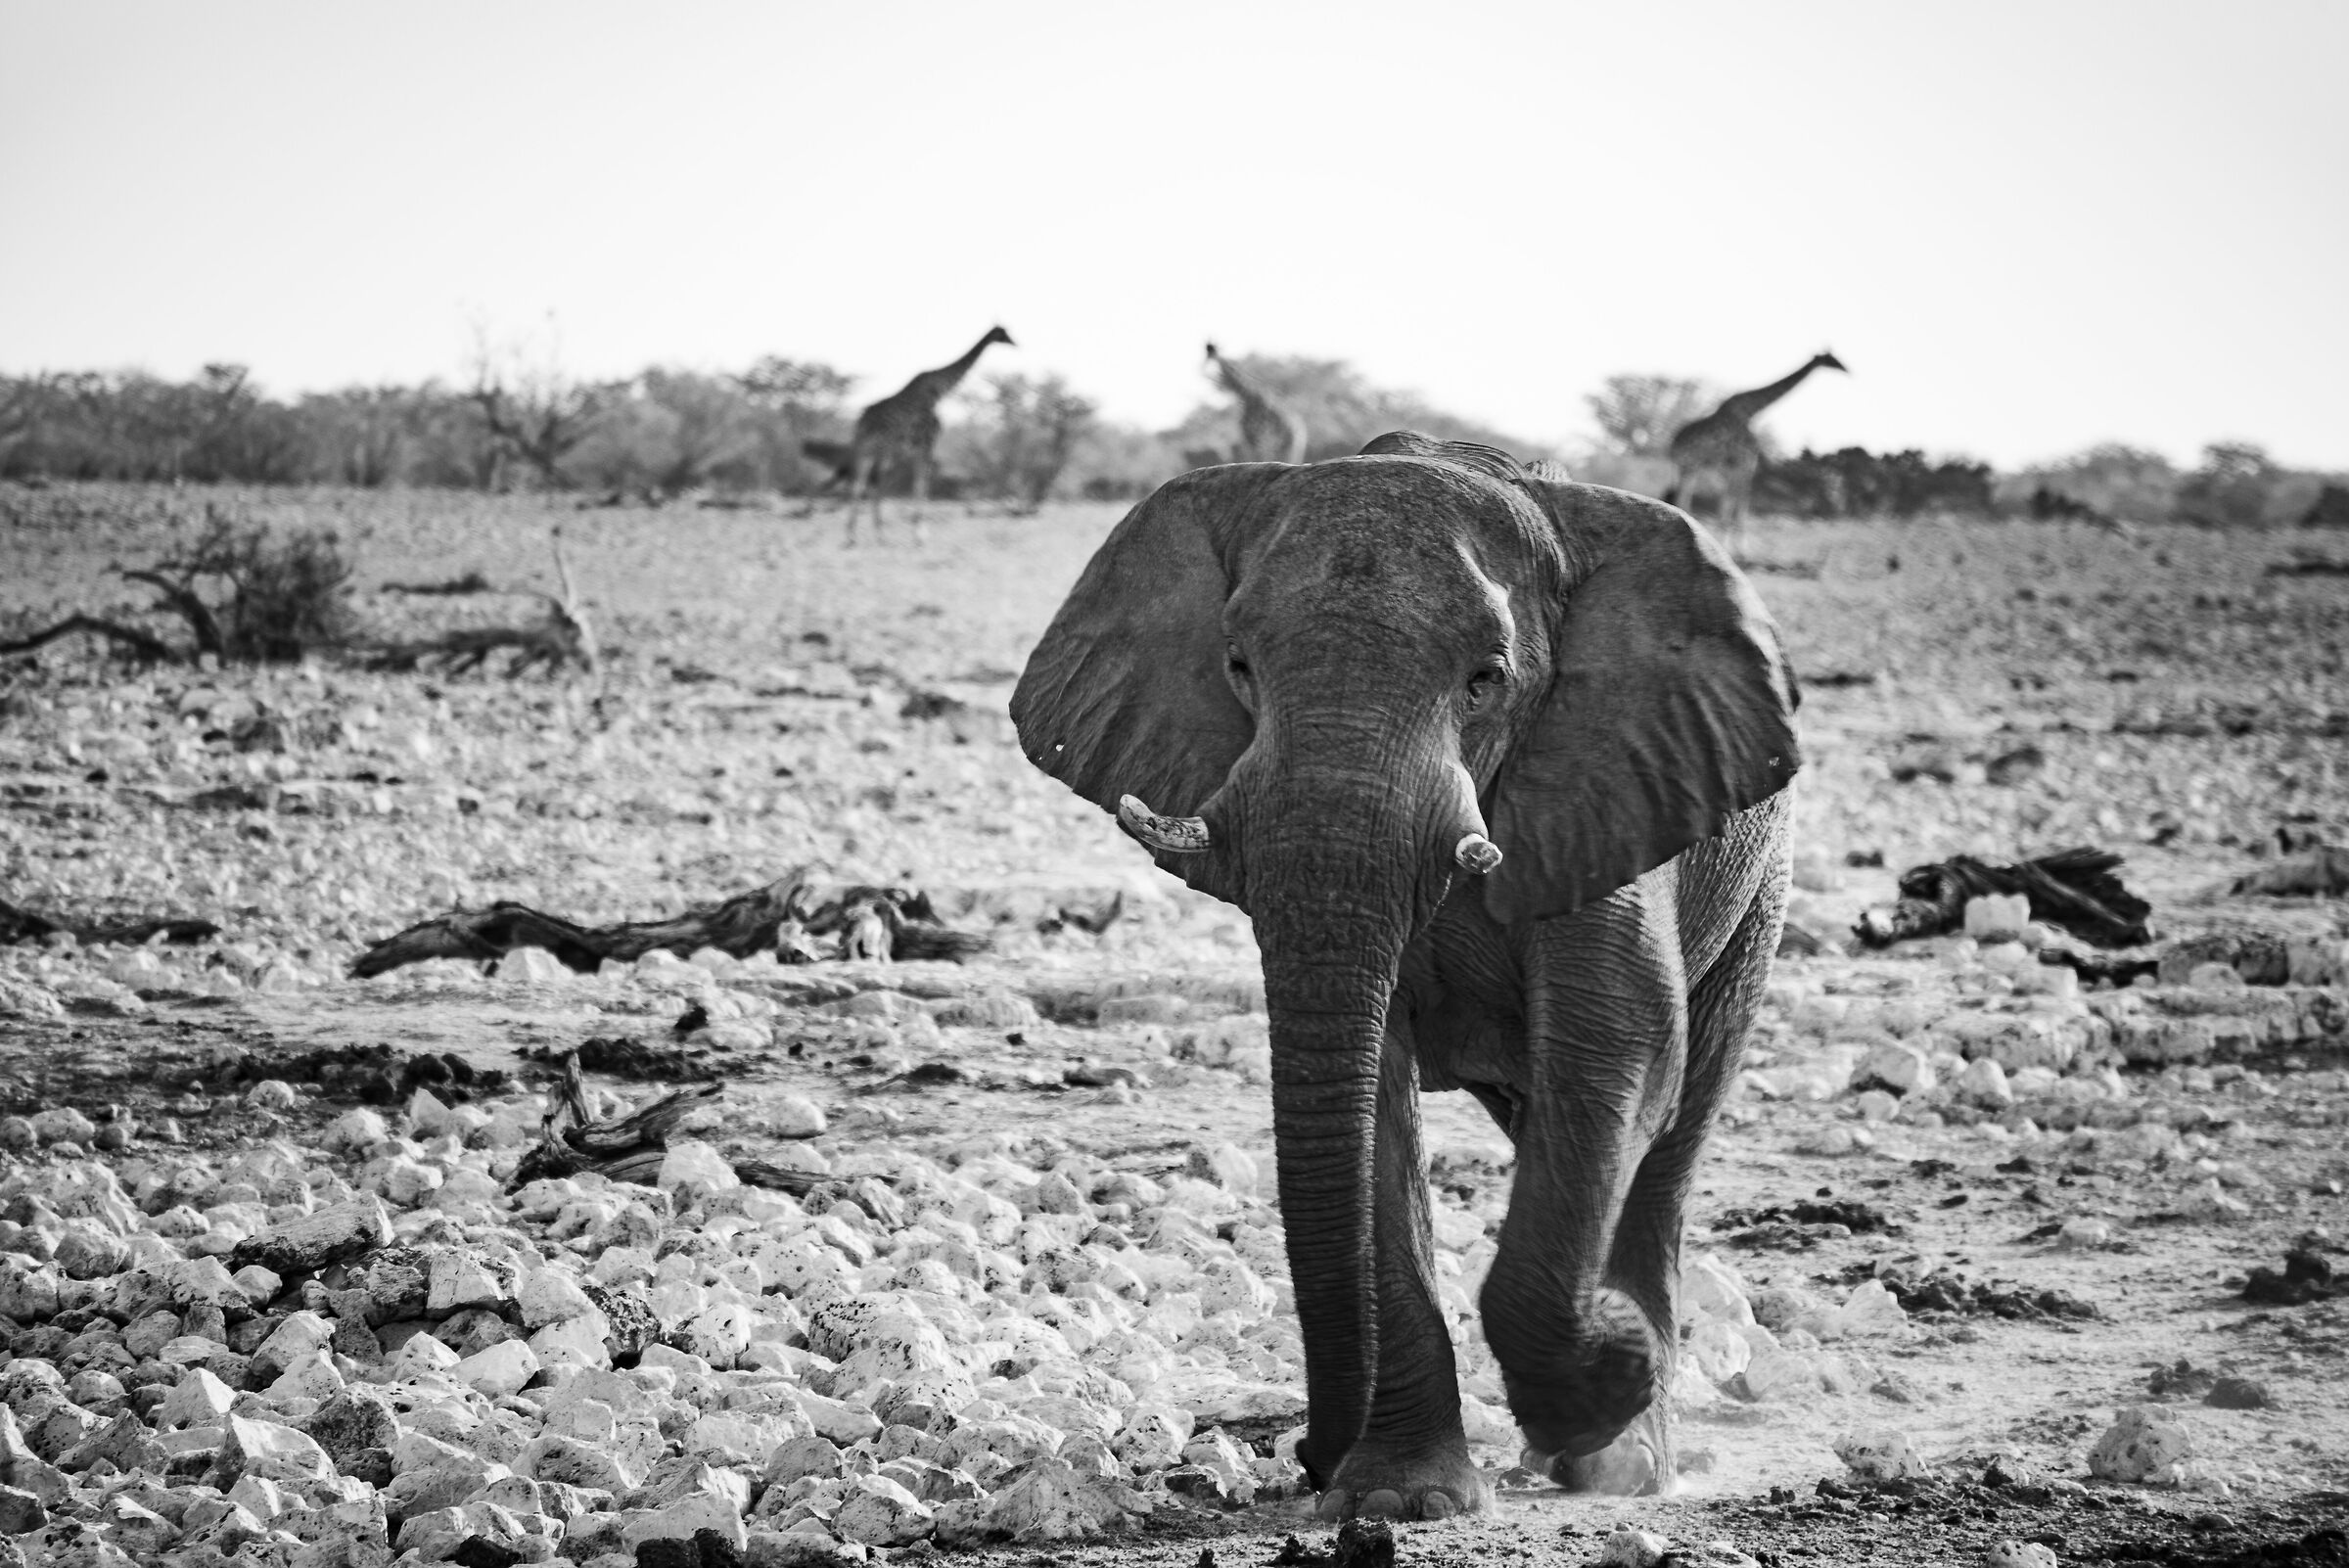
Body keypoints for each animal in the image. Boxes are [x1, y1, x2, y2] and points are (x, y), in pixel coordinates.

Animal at [1010, 432, 1800, 1518]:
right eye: (1238, 667)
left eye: (1486, 679)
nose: (1310, 1452)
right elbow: (1369, 1092)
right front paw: (1398, 1499)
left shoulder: (1607, 775)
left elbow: (1618, 1044)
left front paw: (1612, 1387)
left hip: (1758, 893)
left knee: (1674, 1130)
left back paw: (1628, 1458)